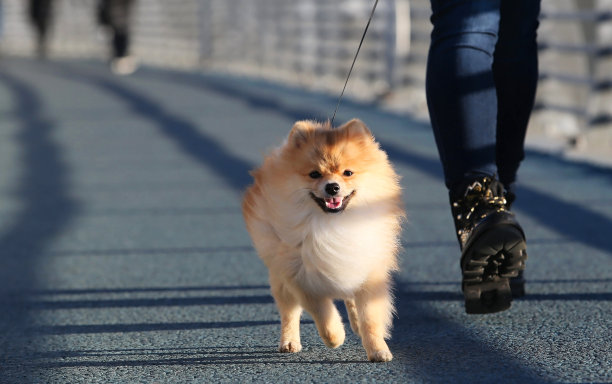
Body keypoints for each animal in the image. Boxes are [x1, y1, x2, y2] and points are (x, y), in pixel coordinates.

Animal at [241, 118, 404, 362]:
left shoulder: (368, 269)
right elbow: (324, 315)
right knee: (289, 312)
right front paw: (336, 337)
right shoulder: (300, 276)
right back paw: (289, 341)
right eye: (314, 174)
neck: (332, 224)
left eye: (348, 173)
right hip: (281, 278)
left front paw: (378, 349)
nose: (332, 187)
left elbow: (370, 318)